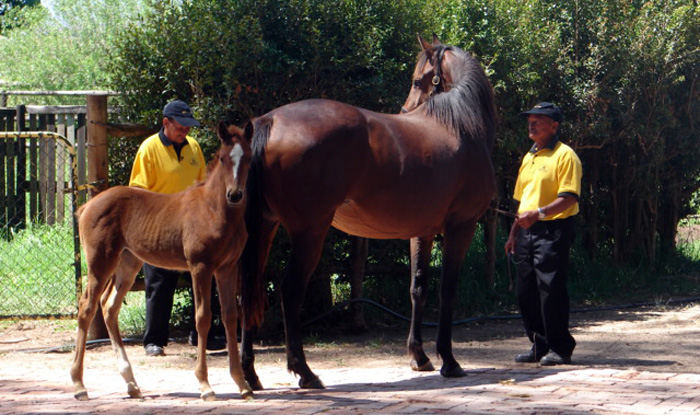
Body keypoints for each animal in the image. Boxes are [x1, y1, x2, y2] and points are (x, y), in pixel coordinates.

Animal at [70, 122, 254, 401]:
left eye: (248, 158)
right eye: (223, 158)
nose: (234, 195)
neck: (214, 211)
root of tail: (86, 207)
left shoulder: (227, 268)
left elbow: (231, 316)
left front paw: (242, 384)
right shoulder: (200, 267)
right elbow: (203, 317)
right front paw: (205, 385)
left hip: (128, 263)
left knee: (109, 307)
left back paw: (131, 384)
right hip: (101, 263)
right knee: (86, 308)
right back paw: (79, 385)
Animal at [239, 34, 497, 390]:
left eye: (417, 80)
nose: (404, 111)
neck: (459, 124)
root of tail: (270, 120)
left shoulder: (423, 231)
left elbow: (418, 288)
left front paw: (420, 356)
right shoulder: (462, 225)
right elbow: (447, 290)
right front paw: (449, 360)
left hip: (264, 228)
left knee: (248, 290)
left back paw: (249, 374)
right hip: (310, 232)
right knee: (289, 290)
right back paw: (304, 372)